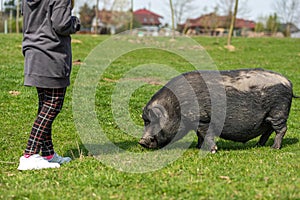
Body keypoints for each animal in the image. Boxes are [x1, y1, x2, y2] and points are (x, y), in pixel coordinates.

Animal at [139, 68, 298, 152]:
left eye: (154, 120)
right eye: (145, 121)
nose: (141, 141)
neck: (176, 107)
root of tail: (289, 82)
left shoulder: (203, 118)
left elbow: (205, 134)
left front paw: (213, 150)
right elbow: (199, 135)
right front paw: (198, 147)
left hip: (279, 111)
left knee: (281, 129)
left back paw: (274, 148)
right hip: (269, 117)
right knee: (268, 130)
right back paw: (259, 145)